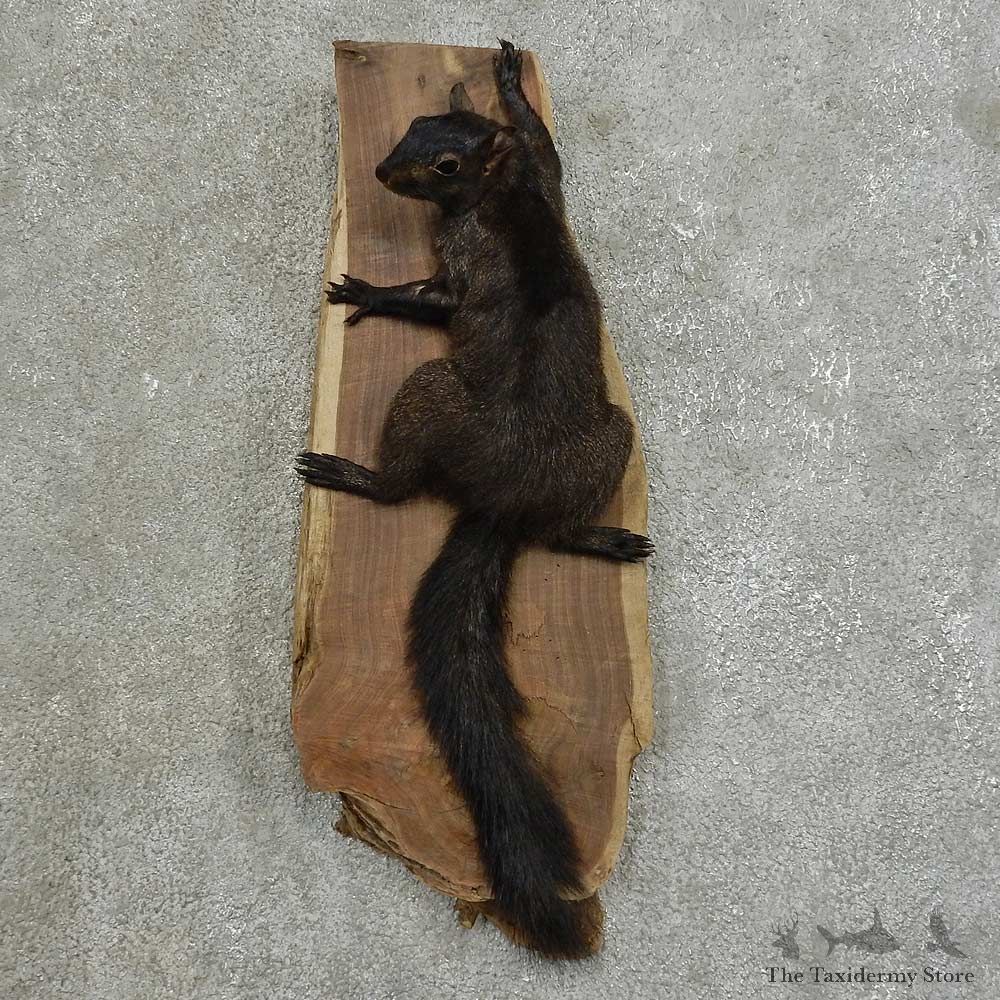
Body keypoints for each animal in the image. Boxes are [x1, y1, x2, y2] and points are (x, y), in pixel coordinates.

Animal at [297, 40, 652, 959]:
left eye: (445, 163)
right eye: (417, 121)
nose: (380, 169)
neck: (504, 193)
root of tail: (503, 502)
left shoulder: (475, 256)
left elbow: (439, 299)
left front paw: (370, 291)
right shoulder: (546, 169)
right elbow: (540, 132)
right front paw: (507, 72)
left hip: (430, 394)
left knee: (403, 487)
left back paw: (354, 473)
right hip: (613, 437)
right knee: (559, 529)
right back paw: (603, 538)